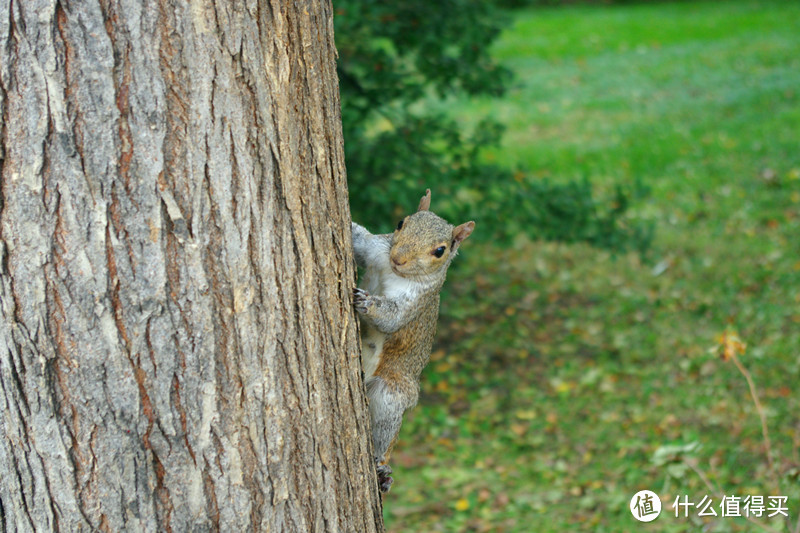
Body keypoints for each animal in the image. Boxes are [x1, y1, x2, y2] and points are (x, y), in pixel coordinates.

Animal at [352, 189, 476, 492]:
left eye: (440, 251)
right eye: (400, 223)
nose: (398, 258)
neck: (394, 272)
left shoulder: (414, 301)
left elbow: (392, 316)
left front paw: (367, 302)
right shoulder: (374, 248)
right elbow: (359, 239)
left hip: (392, 391)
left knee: (385, 428)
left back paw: (381, 468)